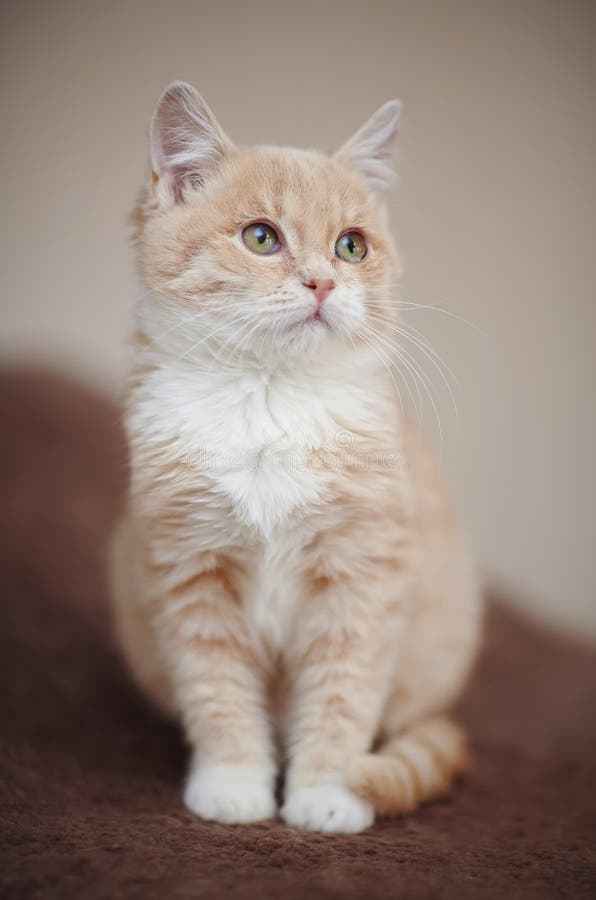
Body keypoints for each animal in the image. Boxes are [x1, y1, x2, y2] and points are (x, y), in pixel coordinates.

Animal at [110, 81, 480, 832]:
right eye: (261, 237)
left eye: (351, 246)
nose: (322, 283)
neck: (269, 400)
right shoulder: (187, 572)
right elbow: (218, 691)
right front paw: (233, 783)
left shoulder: (363, 576)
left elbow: (343, 695)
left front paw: (327, 792)